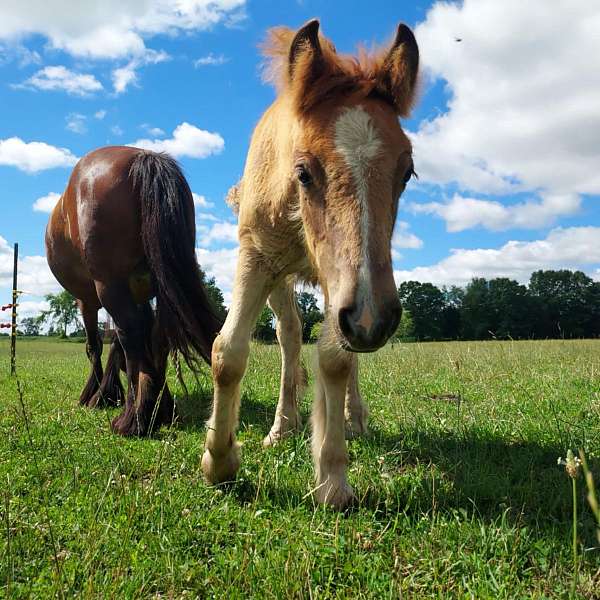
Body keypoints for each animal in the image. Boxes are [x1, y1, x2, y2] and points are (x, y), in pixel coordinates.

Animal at [45, 145, 223, 436]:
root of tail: (145, 157)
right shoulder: (140, 295)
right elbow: (125, 344)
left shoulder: (86, 301)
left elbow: (95, 346)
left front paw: (97, 394)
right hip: (159, 289)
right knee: (156, 336)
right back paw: (160, 408)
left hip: (109, 286)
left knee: (131, 334)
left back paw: (134, 418)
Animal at [202, 19, 418, 506]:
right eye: (303, 171)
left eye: (407, 174)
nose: (373, 320)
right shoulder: (255, 256)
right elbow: (228, 352)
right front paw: (219, 462)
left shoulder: (345, 286)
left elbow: (336, 360)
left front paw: (332, 477)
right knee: (290, 335)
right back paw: (283, 426)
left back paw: (354, 419)